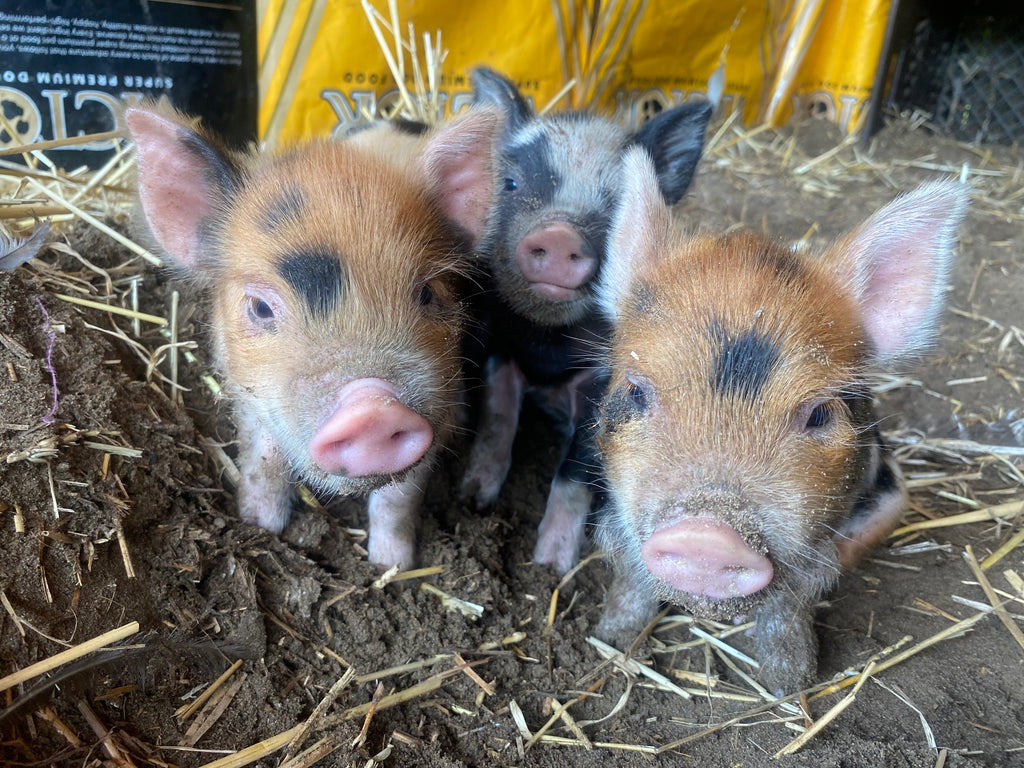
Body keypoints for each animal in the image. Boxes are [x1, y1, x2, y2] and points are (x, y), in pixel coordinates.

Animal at [127, 103, 499, 569]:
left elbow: (398, 500)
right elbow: (264, 461)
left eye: (428, 293)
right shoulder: (250, 400)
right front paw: (259, 525)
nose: (373, 407)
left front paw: (393, 566)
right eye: (260, 307)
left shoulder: (436, 405)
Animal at [459, 66, 714, 574]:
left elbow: (574, 473)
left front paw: (551, 567)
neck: (548, 348)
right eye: (512, 183)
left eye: (620, 204)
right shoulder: (500, 345)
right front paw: (472, 500)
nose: (559, 234)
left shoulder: (604, 387)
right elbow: (497, 419)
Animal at [593, 146, 969, 693]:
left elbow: (794, 599)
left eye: (819, 413)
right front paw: (611, 640)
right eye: (636, 392)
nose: (706, 533)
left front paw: (790, 684)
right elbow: (629, 577)